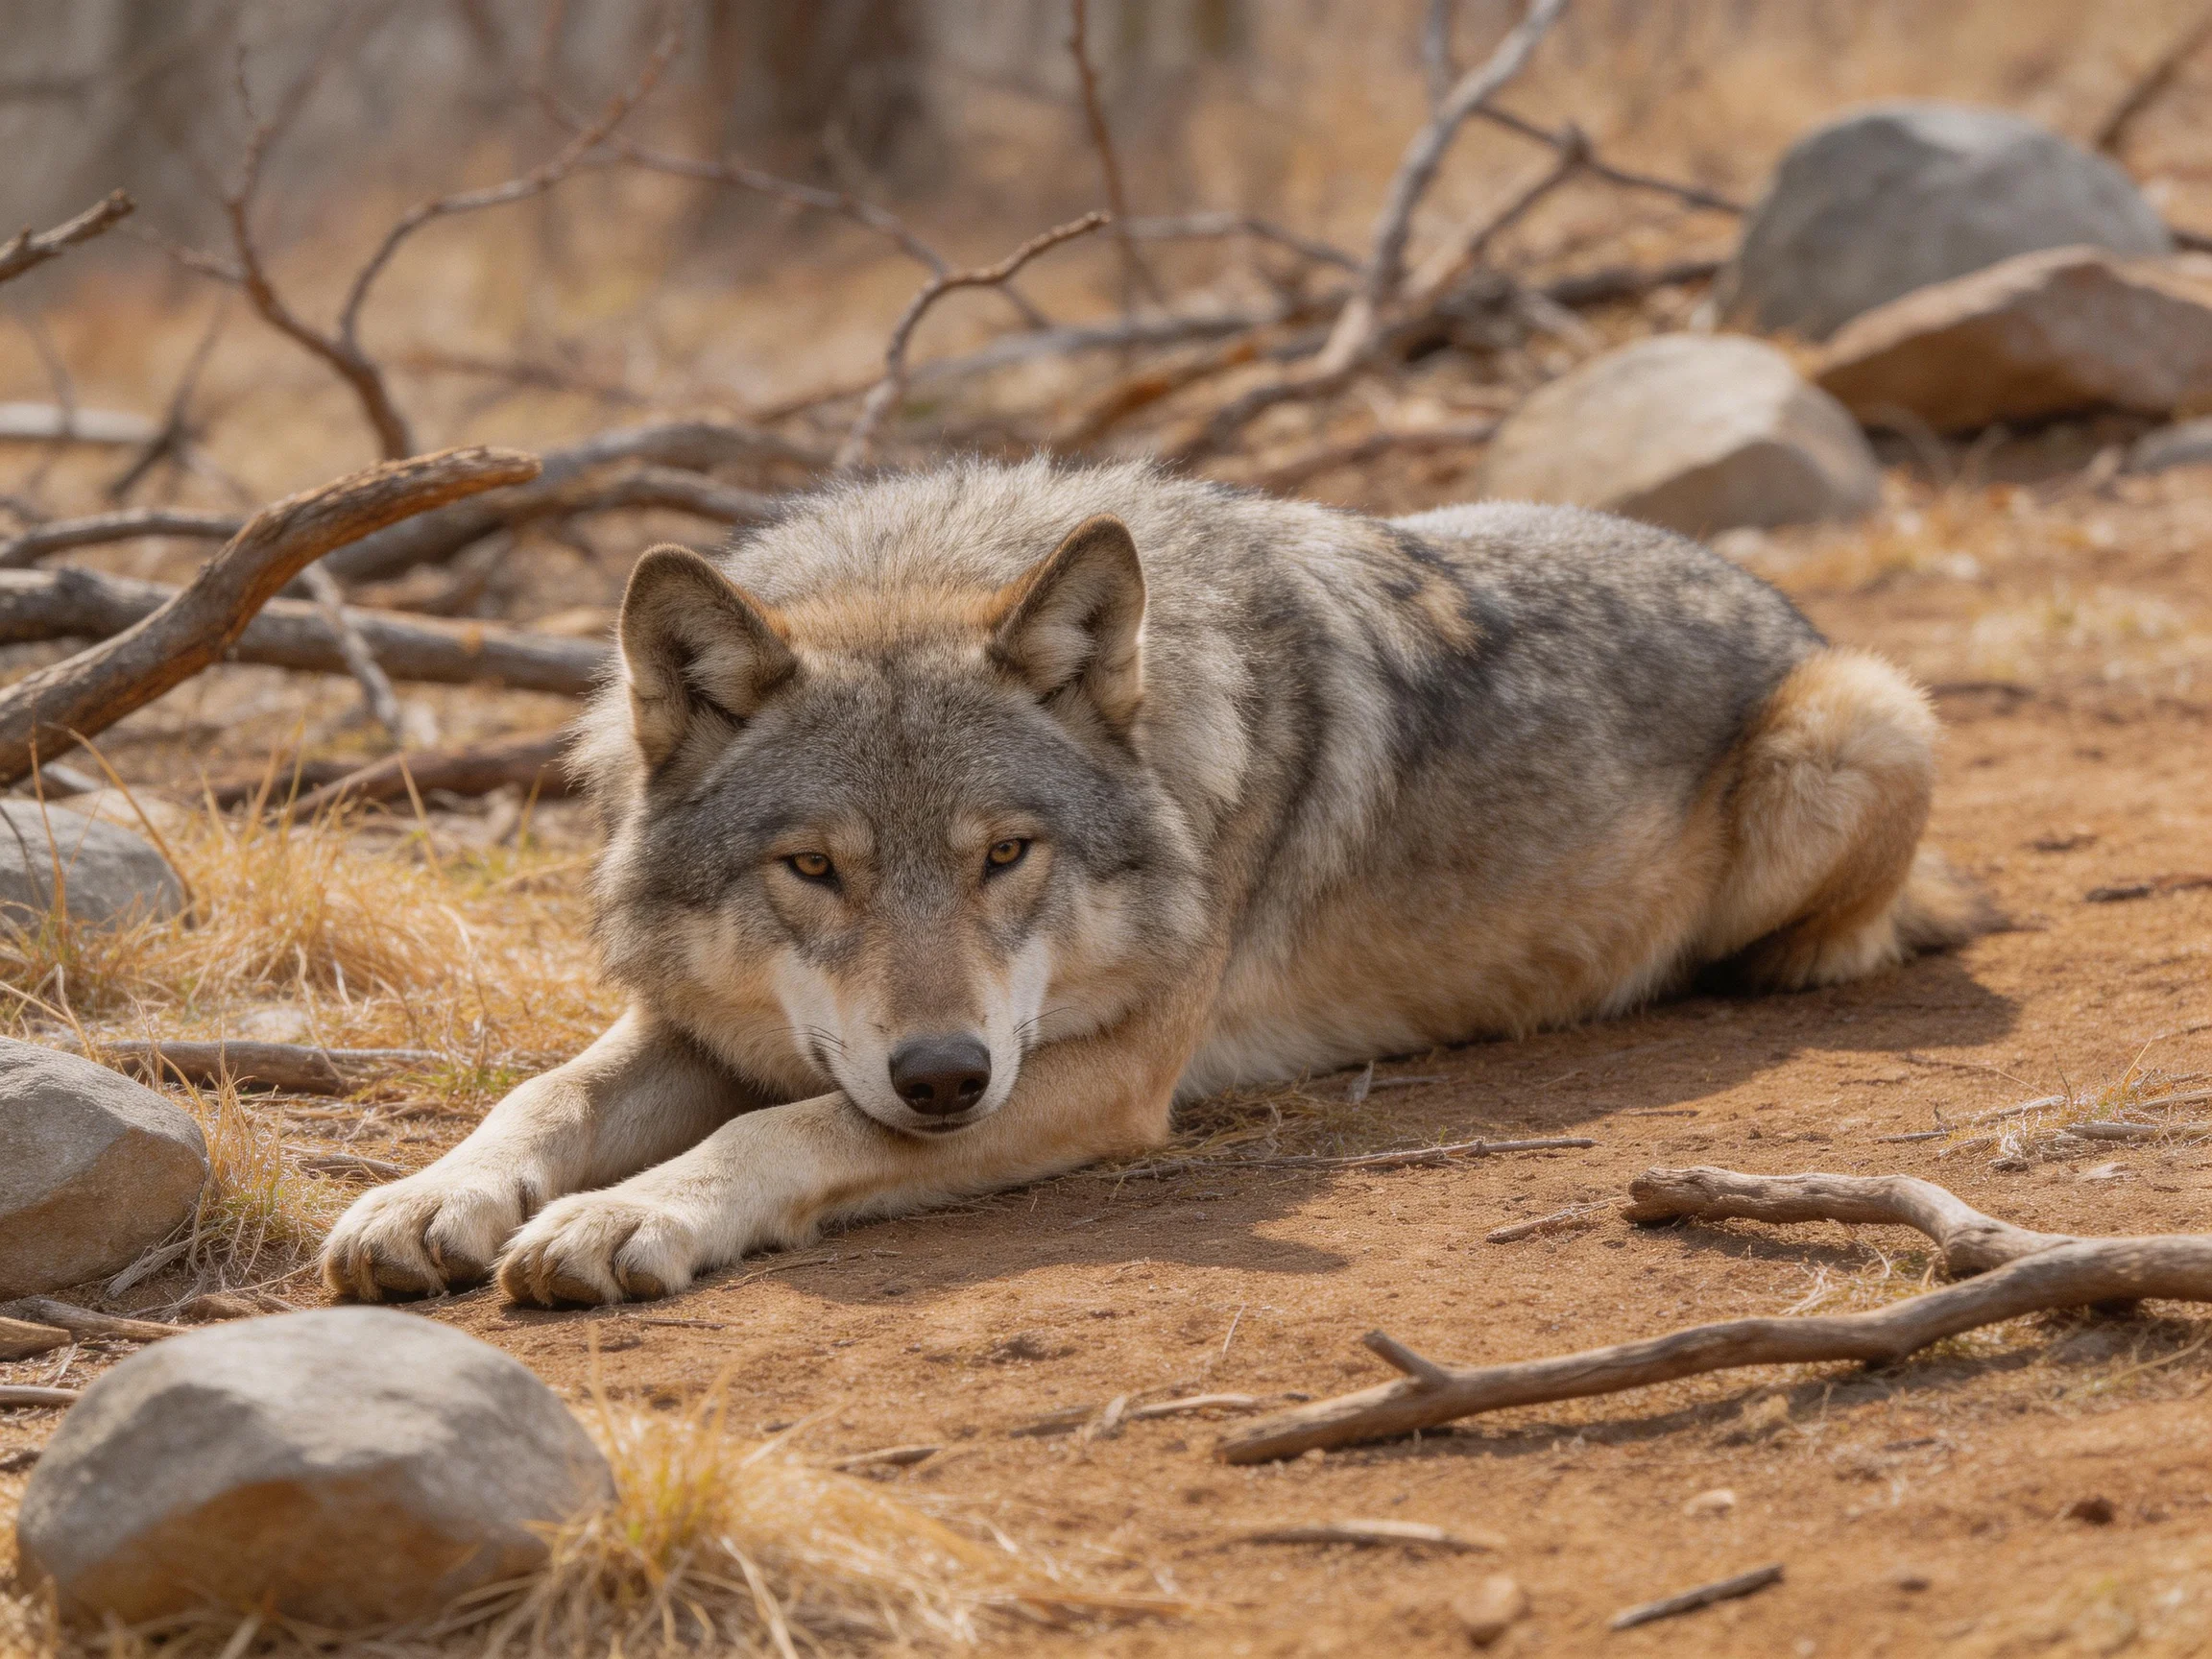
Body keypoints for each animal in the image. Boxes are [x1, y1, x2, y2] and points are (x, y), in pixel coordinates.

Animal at [321, 458, 1988, 1306]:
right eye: (814, 870)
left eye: (1007, 855)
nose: (942, 1076)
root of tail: (1775, 594)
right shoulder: (701, 1024)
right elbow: (541, 1097)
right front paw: (426, 1196)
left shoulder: (1102, 1076)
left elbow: (787, 1127)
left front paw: (626, 1218)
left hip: (1866, 720)